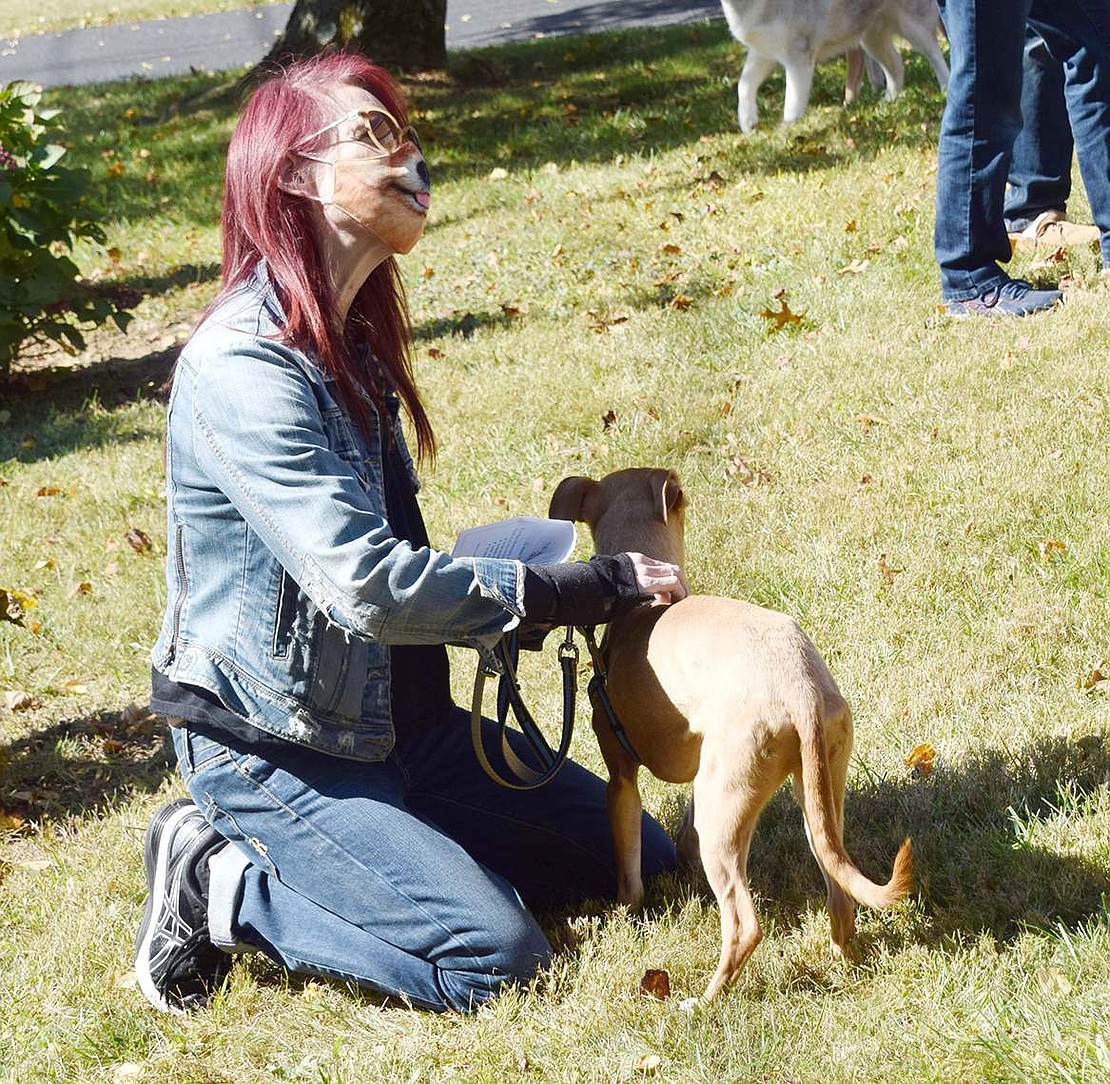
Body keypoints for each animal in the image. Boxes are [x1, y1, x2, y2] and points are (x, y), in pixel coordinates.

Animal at [550, 470, 914, 1003]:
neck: (646, 608)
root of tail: (799, 687)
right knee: (840, 893)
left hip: (723, 816)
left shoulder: (621, 782)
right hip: (814, 796)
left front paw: (627, 914)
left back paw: (702, 1001)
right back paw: (842, 962)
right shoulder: (700, 777)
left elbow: (629, 868)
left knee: (744, 924)